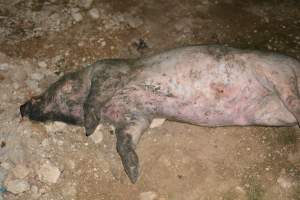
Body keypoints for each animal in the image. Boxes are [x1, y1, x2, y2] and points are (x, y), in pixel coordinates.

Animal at [19, 45, 300, 183]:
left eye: (43, 93)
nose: (21, 107)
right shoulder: (135, 118)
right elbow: (123, 143)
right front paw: (134, 175)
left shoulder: (109, 71)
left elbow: (94, 96)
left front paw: (89, 127)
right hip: (271, 112)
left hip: (281, 75)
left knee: (292, 97)